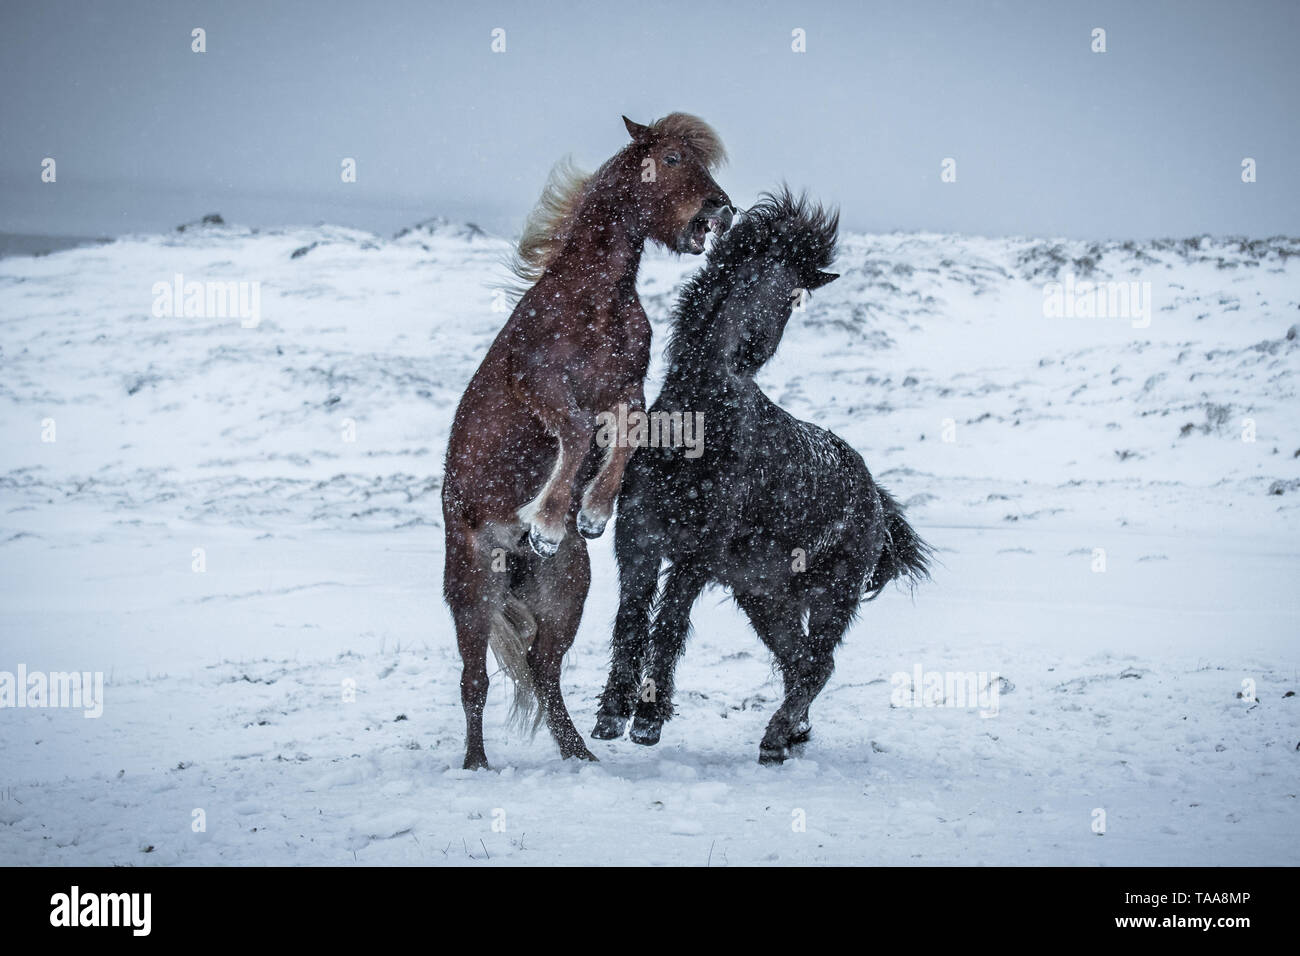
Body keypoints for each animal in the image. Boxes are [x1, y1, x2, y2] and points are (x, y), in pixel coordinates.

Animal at [442, 113, 732, 770]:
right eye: (672, 158)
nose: (722, 210)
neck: (592, 299)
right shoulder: (541, 386)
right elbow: (574, 431)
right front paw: (550, 521)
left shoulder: (626, 389)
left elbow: (624, 435)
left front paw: (593, 515)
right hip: (472, 590)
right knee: (476, 681)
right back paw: (476, 765)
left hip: (566, 593)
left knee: (543, 671)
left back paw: (582, 756)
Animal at [590, 189, 932, 764]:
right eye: (740, 273)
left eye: (794, 296)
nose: (747, 352)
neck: (697, 430)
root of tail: (875, 499)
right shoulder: (637, 539)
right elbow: (631, 618)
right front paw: (613, 714)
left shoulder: (697, 555)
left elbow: (670, 623)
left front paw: (649, 720)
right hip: (766, 598)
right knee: (800, 663)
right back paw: (790, 735)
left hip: (835, 594)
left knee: (818, 665)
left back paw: (774, 738)